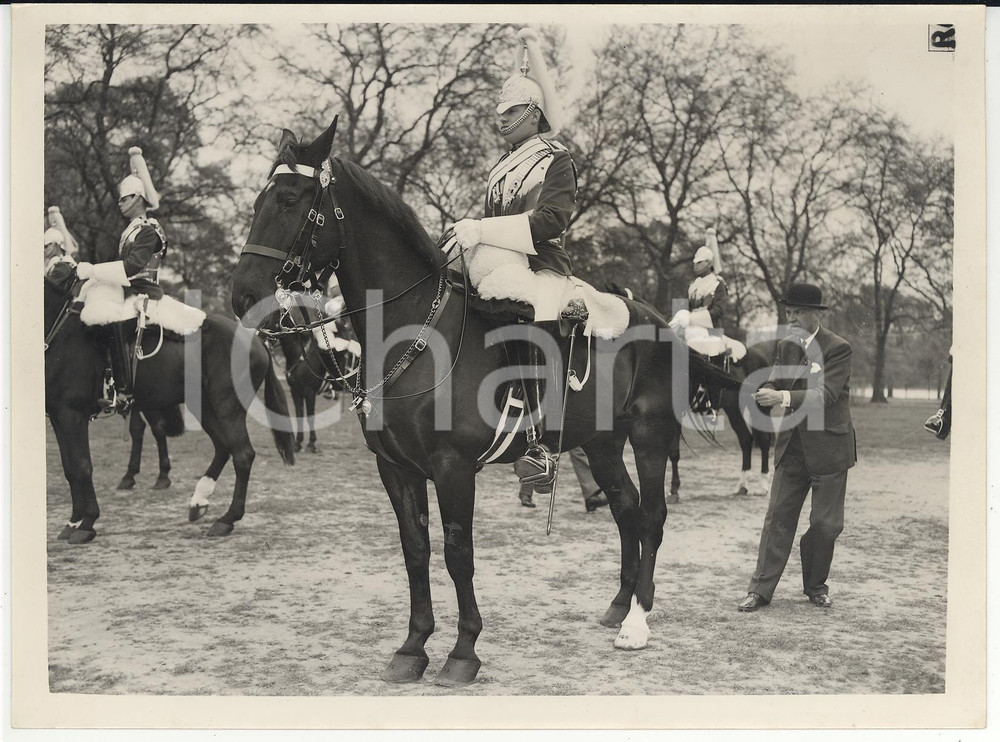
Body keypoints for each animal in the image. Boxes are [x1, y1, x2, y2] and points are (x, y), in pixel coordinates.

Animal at [44, 273, 296, 543]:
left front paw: (87, 523)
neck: (61, 333)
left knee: (242, 455)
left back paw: (227, 519)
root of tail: (256, 340)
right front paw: (73, 521)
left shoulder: (72, 416)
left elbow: (82, 467)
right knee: (222, 447)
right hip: (204, 407)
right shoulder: (58, 417)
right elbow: (70, 469)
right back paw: (199, 502)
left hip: (228, 408)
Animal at [230, 119, 740, 687]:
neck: (415, 330)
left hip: (650, 438)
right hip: (602, 444)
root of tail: (663, 325)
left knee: (651, 515)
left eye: (290, 200)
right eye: (260, 199)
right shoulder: (396, 468)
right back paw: (618, 605)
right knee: (626, 509)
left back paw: (637, 621)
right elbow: (415, 551)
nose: (243, 295)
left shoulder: (453, 469)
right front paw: (412, 647)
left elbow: (458, 554)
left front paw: (463, 651)